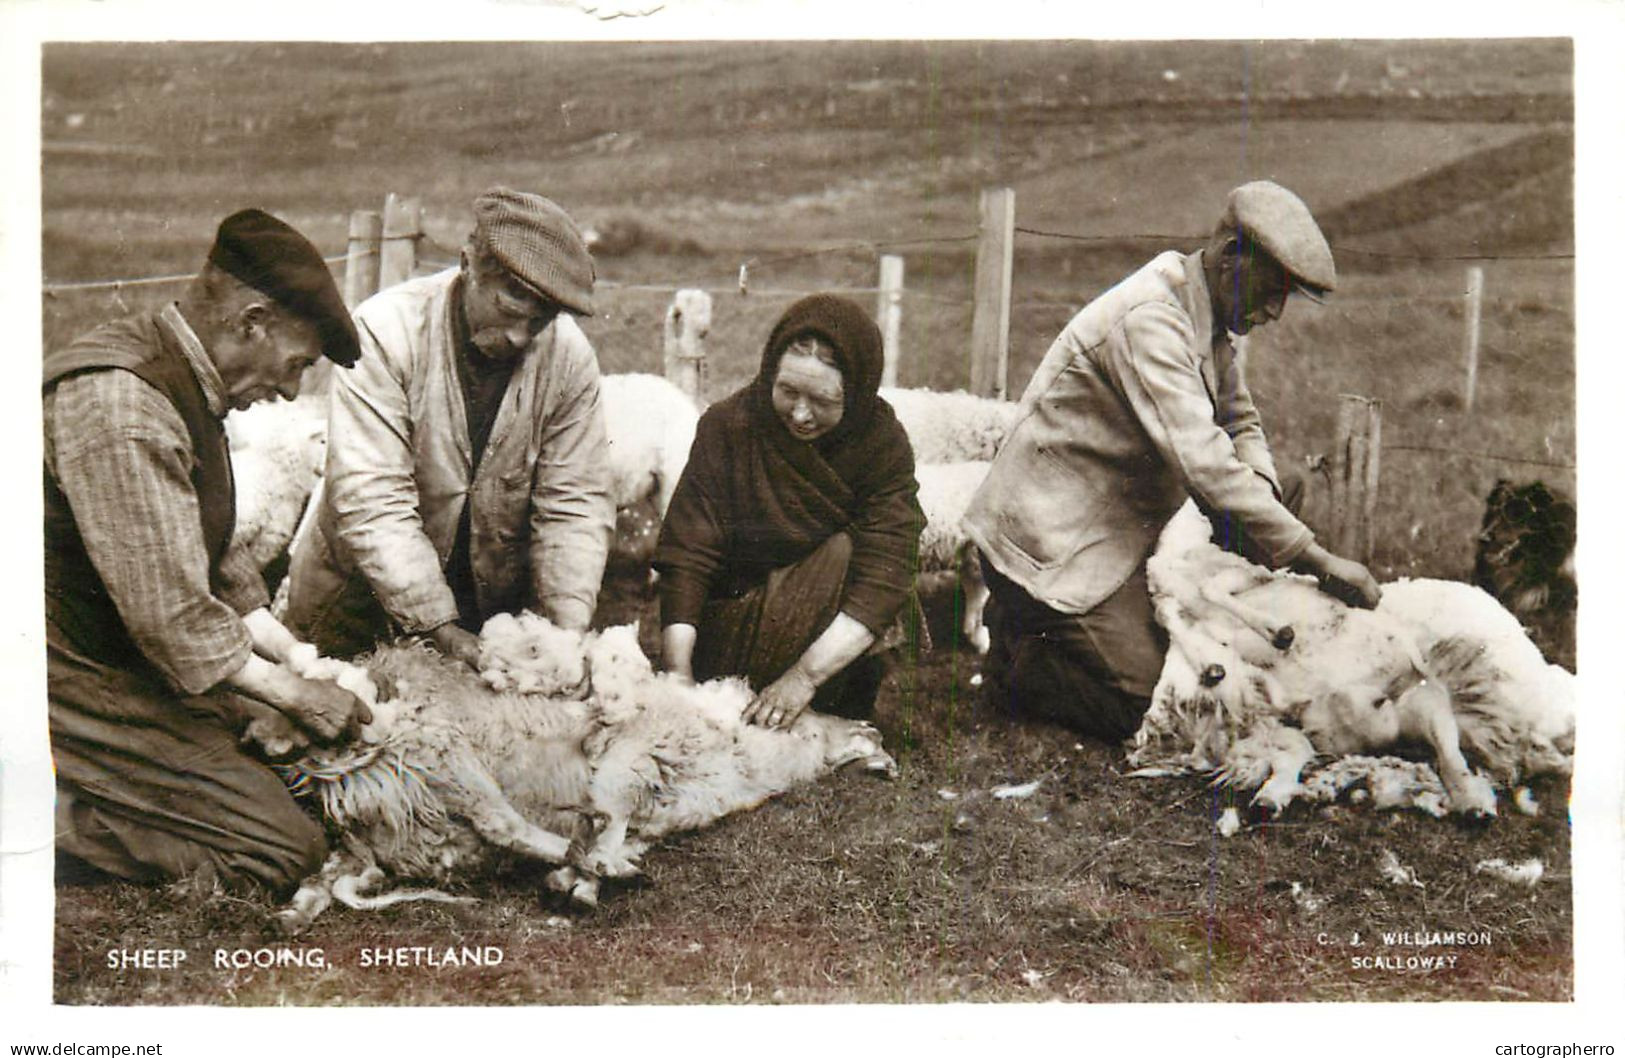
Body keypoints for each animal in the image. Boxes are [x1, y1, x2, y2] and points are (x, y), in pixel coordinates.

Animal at [273, 614, 897, 932]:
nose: (876, 739)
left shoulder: (646, 796)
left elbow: (614, 825)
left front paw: (586, 881)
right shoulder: (631, 758)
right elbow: (608, 802)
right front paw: (589, 875)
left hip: (410, 823)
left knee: (327, 878)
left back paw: (292, 915)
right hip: (445, 752)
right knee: (505, 824)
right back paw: (594, 866)